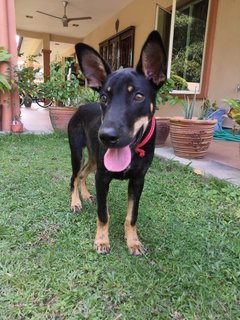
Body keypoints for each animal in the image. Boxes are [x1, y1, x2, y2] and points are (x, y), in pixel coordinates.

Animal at [68, 30, 167, 255]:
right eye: (104, 97)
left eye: (138, 96)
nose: (107, 136)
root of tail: (79, 107)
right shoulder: (103, 177)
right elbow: (103, 214)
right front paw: (102, 240)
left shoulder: (138, 180)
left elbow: (132, 216)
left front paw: (133, 241)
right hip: (77, 153)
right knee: (74, 177)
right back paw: (76, 202)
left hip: (94, 158)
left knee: (83, 174)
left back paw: (86, 196)